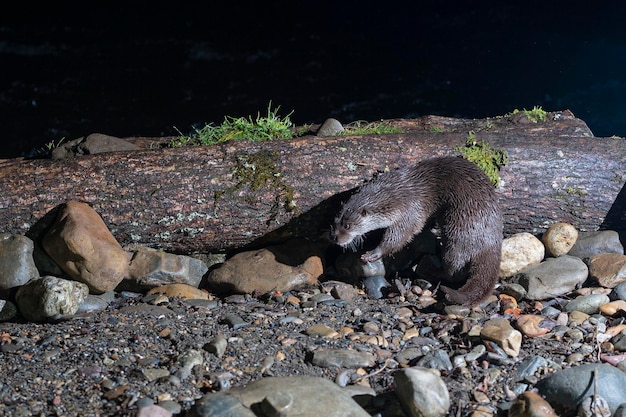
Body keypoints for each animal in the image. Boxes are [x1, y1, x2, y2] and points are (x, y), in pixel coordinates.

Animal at [332, 156, 502, 306]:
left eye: (347, 226)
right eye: (335, 222)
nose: (336, 239)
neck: (395, 195)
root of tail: (490, 243)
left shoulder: (409, 210)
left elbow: (401, 235)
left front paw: (373, 253)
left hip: (458, 236)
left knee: (453, 270)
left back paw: (431, 271)